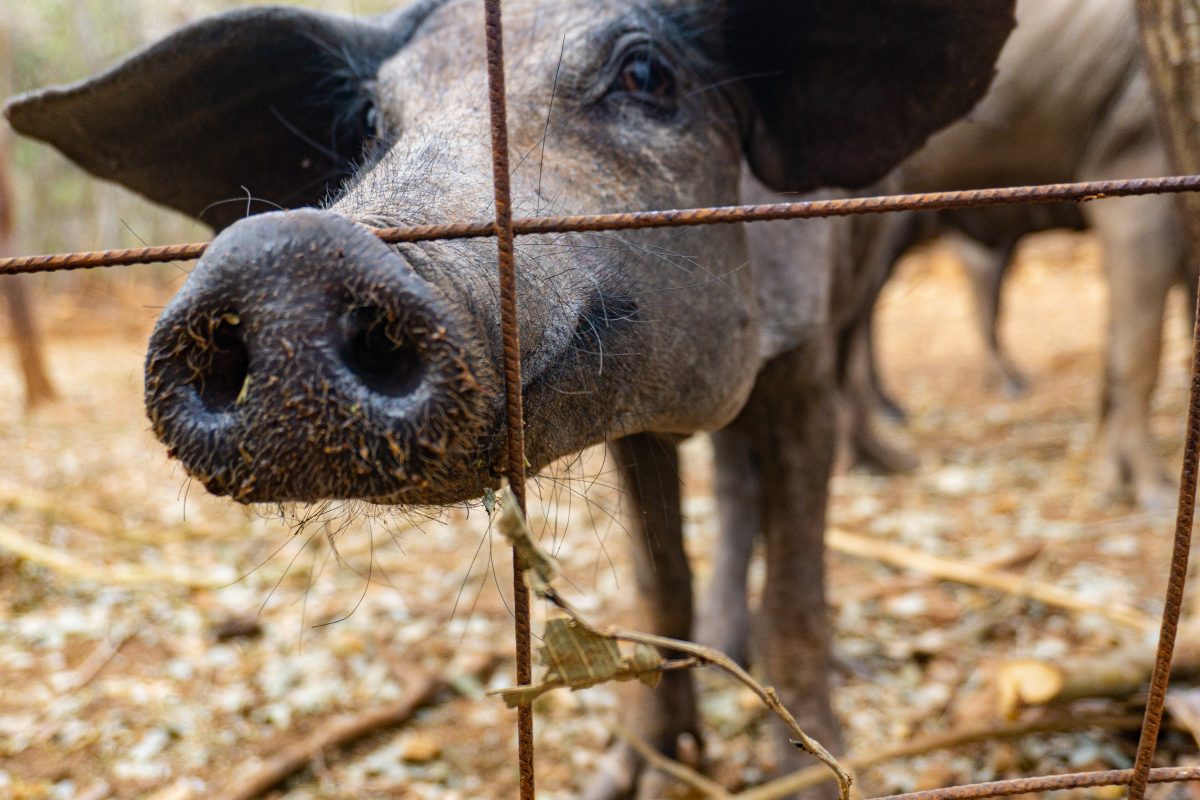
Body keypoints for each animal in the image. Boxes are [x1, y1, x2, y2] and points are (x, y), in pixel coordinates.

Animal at [4, 1, 1015, 794]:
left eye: (646, 73)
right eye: (368, 120)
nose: (283, 255)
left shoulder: (801, 354)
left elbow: (798, 576)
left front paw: (806, 773)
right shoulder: (634, 422)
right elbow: (661, 579)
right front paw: (632, 777)